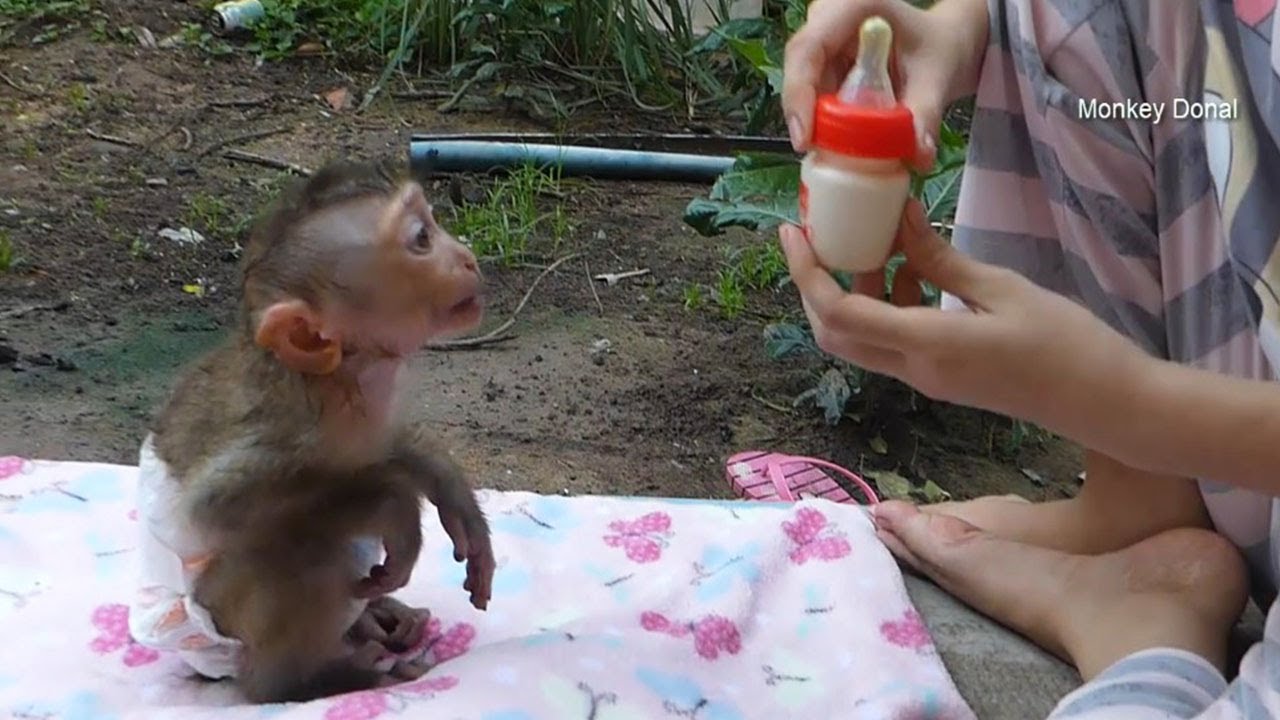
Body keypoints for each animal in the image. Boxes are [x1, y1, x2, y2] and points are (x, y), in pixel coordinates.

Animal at [125, 158, 496, 704]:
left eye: (432, 225)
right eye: (421, 239)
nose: (467, 259)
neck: (343, 377)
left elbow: (391, 447)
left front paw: (448, 488)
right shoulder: (282, 431)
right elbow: (213, 509)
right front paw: (396, 506)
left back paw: (377, 619)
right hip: (213, 616)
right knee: (307, 556)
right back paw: (305, 682)